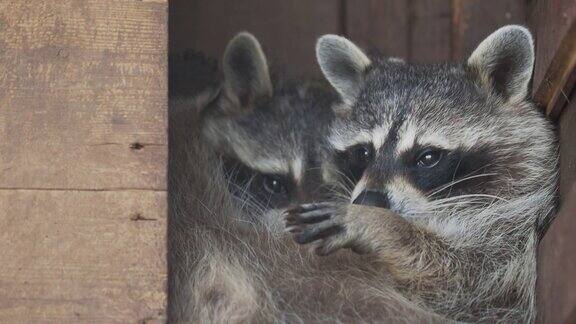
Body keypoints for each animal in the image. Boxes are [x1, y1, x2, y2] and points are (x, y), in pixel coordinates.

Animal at [284, 25, 560, 322]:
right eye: (364, 153)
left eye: (427, 157)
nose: (368, 201)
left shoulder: (513, 240)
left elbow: (469, 280)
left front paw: (379, 224)